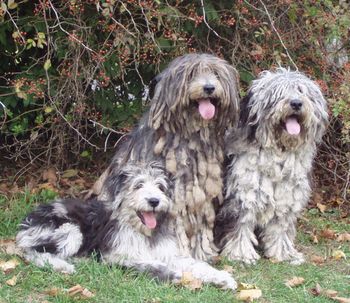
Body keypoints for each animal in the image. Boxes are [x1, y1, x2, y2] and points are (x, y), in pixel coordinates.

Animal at [15, 163, 235, 290]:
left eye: (160, 187)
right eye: (138, 185)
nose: (154, 201)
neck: (142, 231)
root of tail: (28, 219)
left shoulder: (167, 253)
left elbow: (196, 264)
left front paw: (222, 278)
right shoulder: (119, 255)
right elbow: (150, 265)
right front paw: (173, 275)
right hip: (69, 230)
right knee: (32, 252)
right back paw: (63, 265)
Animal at [89, 52, 241, 262]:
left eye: (216, 74)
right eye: (192, 74)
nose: (209, 87)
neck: (190, 136)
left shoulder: (201, 192)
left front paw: (202, 253)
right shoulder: (172, 191)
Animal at [215, 67, 330, 264]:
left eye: (302, 91)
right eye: (278, 94)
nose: (296, 103)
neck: (278, 156)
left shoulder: (287, 198)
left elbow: (280, 228)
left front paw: (283, 252)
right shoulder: (244, 194)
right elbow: (241, 225)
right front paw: (241, 254)